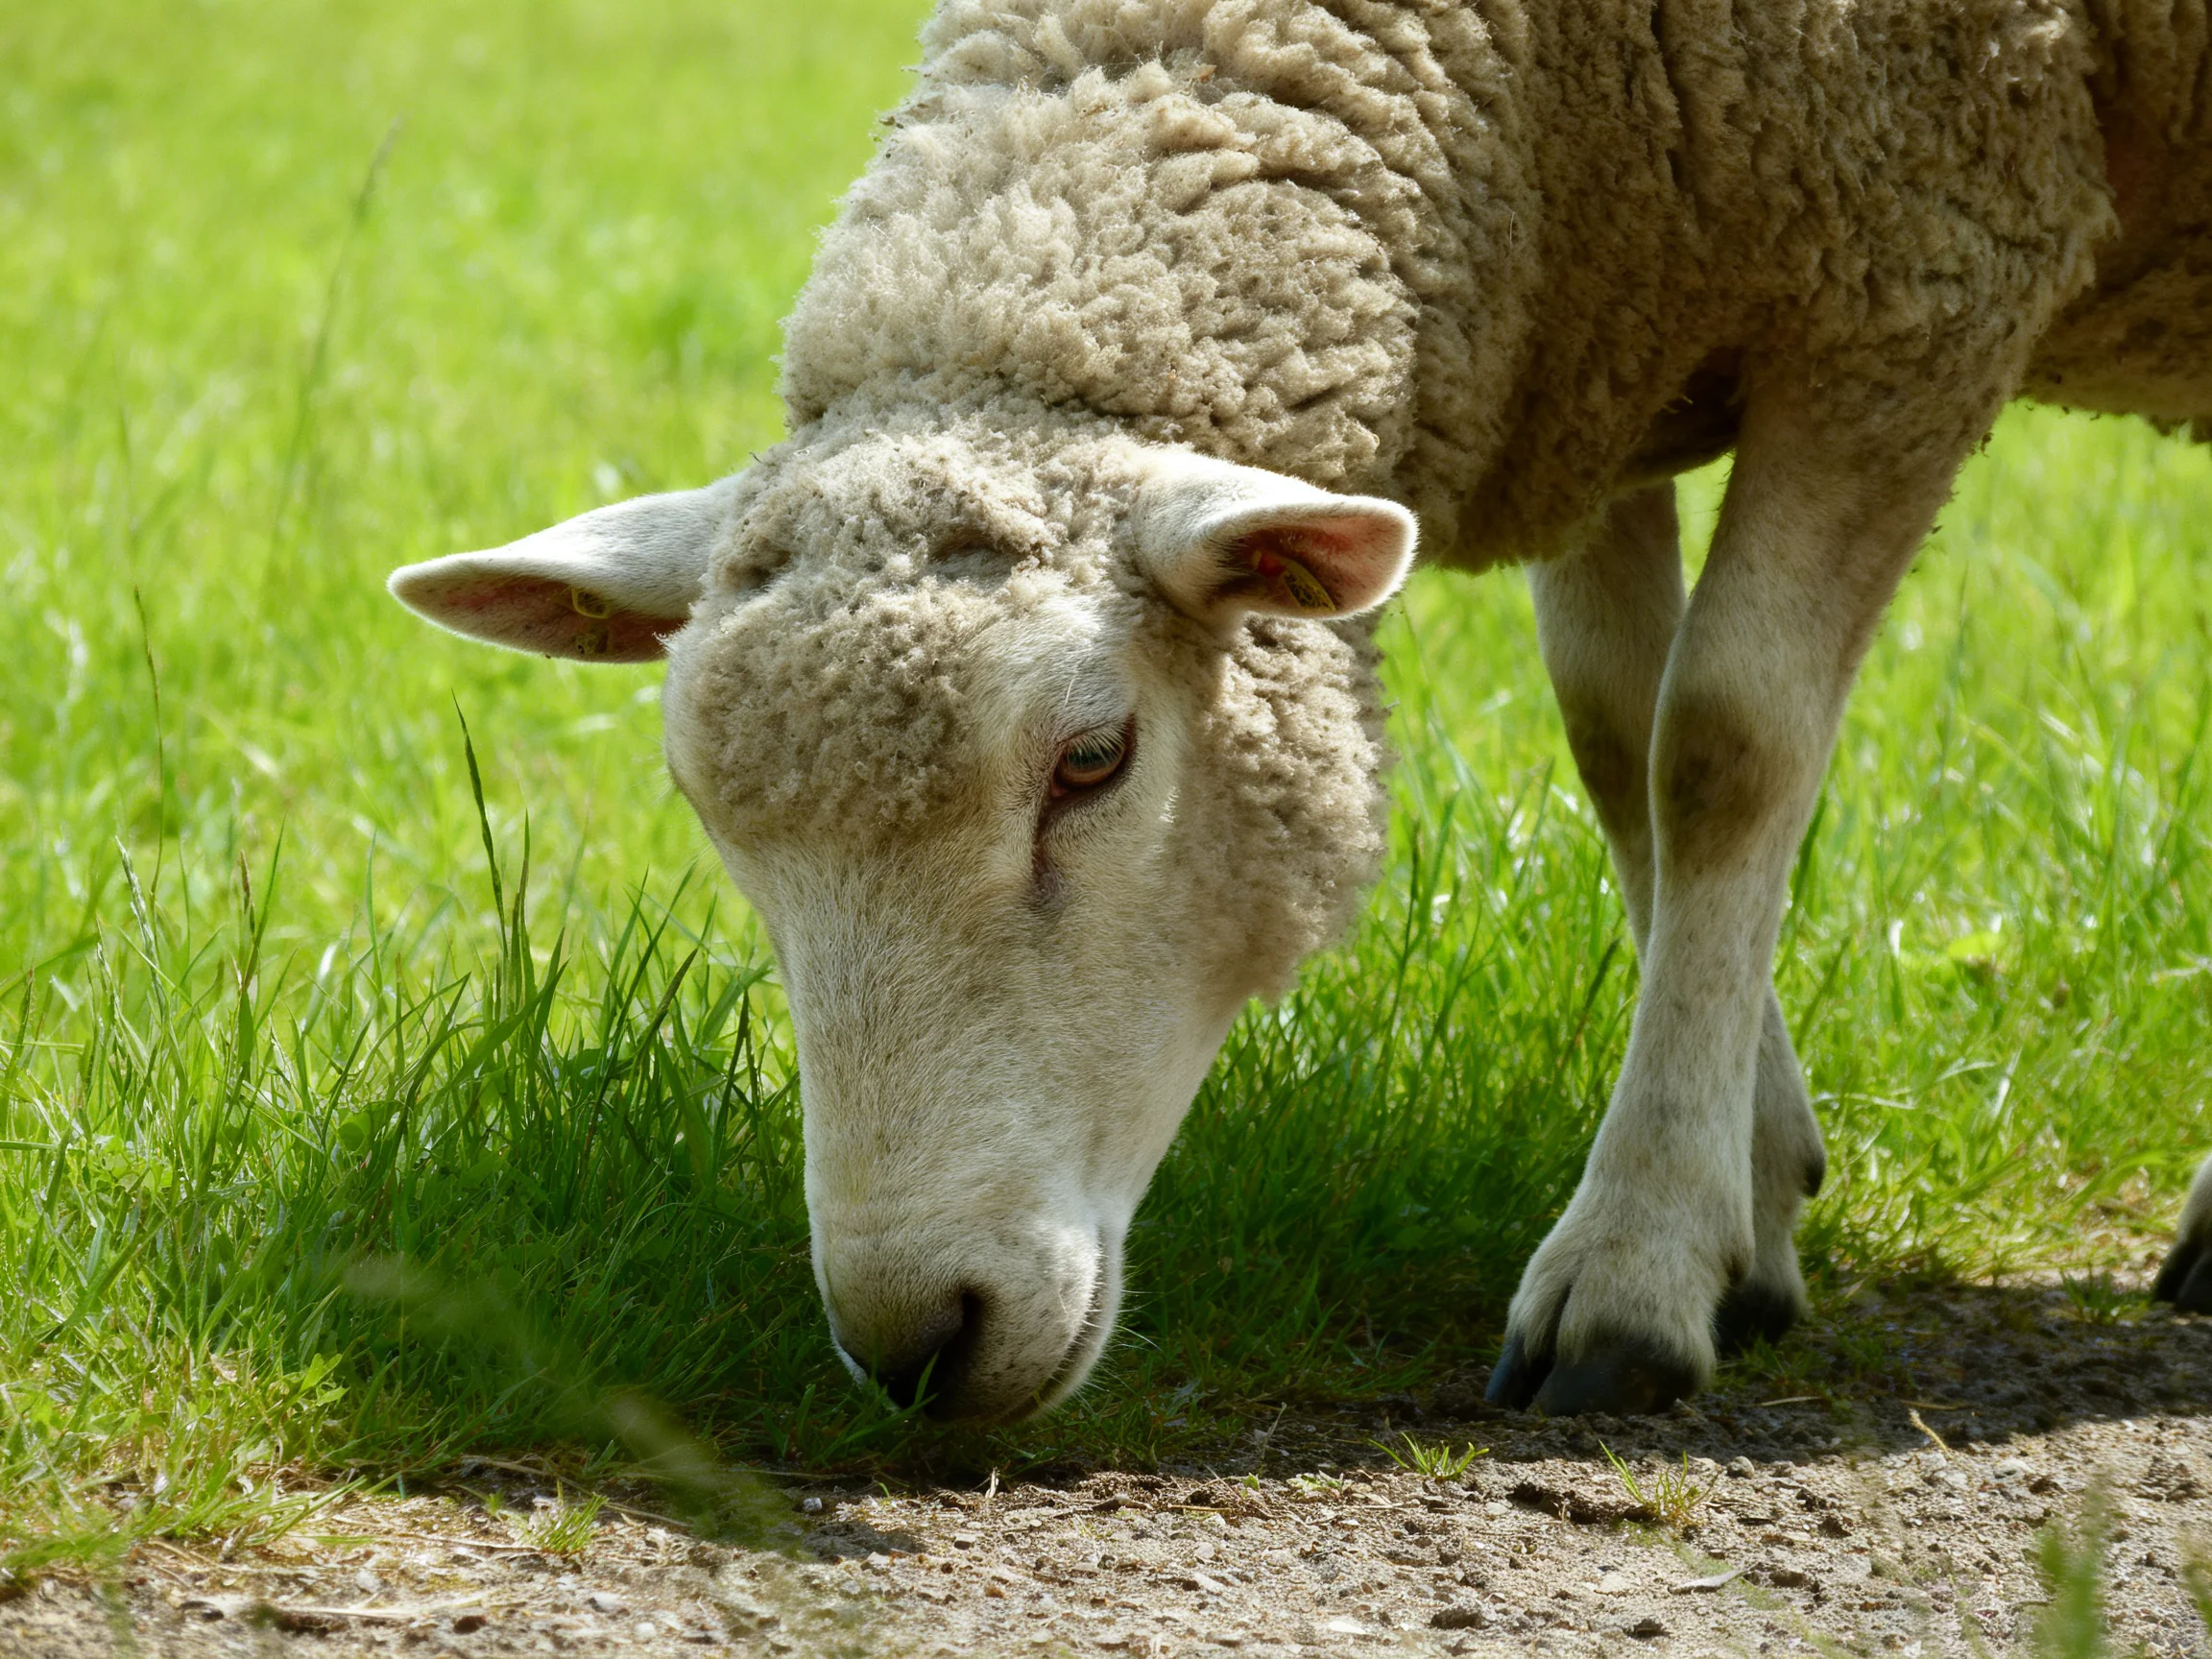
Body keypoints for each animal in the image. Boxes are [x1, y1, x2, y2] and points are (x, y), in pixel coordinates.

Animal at [389, 0, 2212, 1422]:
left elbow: (1723, 746)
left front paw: (1633, 1262)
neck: (1524, 82)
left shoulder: (1917, 277)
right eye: (717, 821)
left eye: (1093, 758)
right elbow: (1615, 737)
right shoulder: (1601, 336)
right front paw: (1752, 1196)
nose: (917, 1342)